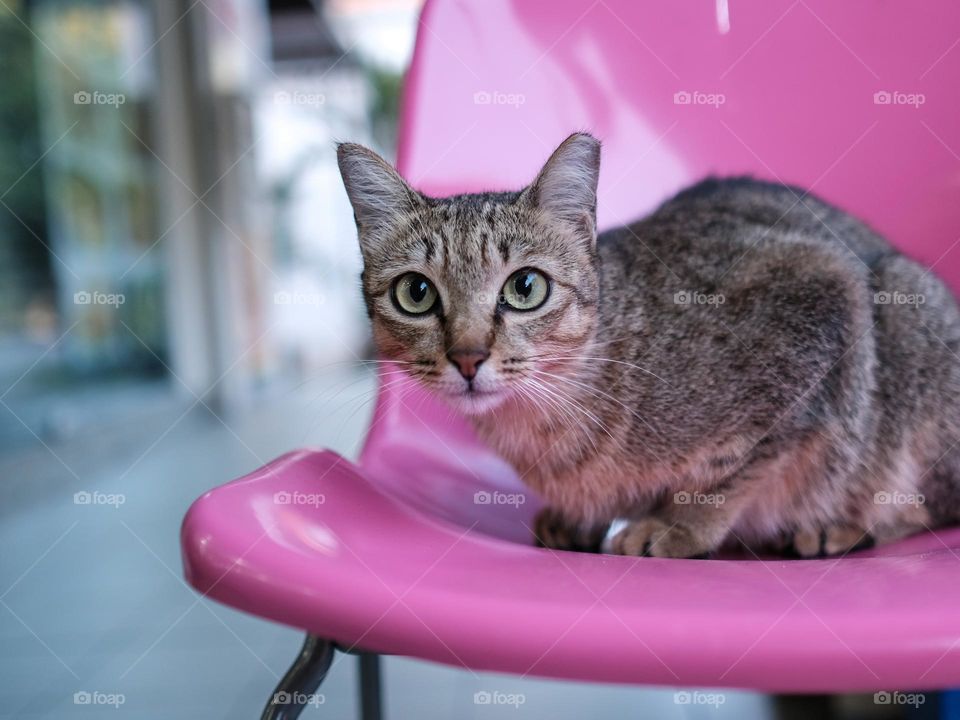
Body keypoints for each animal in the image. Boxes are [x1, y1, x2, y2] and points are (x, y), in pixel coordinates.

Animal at [336, 132, 960, 560]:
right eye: (416, 293)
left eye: (525, 287)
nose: (467, 357)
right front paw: (581, 520)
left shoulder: (821, 296)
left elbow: (733, 473)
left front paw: (676, 525)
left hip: (906, 312)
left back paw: (840, 525)